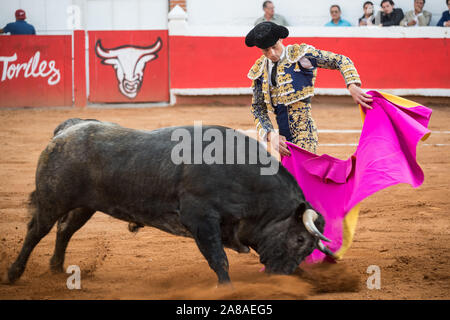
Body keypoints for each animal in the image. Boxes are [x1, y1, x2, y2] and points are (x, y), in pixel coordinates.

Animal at [5, 119, 332, 284]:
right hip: (52, 199)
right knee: (37, 231)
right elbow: (219, 259)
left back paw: (56, 268)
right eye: (299, 240)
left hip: (85, 205)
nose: (283, 277)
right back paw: (13, 274)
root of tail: (65, 131)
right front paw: (226, 290)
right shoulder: (201, 220)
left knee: (64, 230)